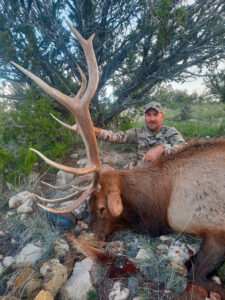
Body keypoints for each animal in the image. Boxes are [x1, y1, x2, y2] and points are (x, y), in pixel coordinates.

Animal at [11, 20, 225, 298]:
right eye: (88, 205)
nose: (92, 236)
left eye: (102, 208)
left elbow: (196, 272)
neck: (164, 200)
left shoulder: (214, 227)